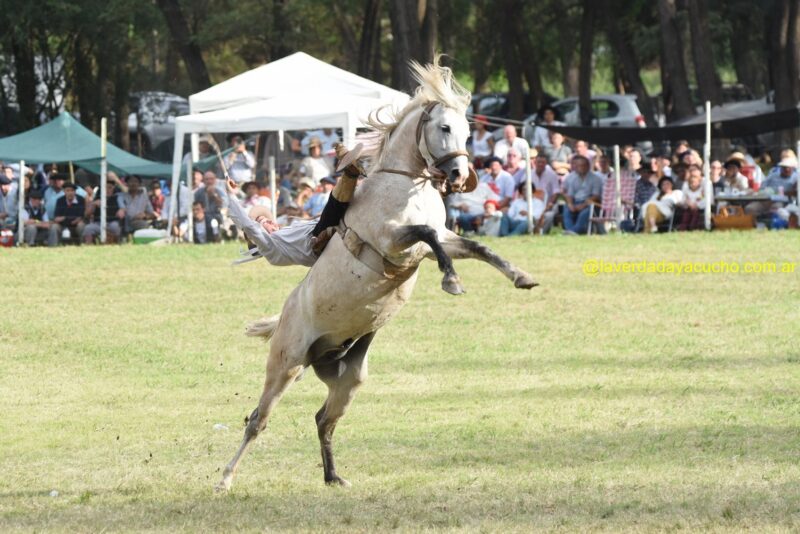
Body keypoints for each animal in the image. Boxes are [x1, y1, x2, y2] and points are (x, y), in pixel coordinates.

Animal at [215, 58, 537, 492]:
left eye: (468, 130)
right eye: (444, 127)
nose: (458, 174)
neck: (405, 183)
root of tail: (284, 321)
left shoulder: (440, 241)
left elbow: (474, 247)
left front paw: (520, 276)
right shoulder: (393, 241)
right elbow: (427, 234)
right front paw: (451, 280)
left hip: (348, 379)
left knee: (323, 419)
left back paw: (333, 476)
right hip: (286, 364)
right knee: (257, 421)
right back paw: (225, 479)